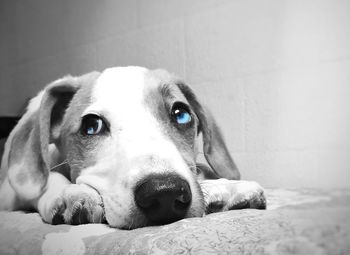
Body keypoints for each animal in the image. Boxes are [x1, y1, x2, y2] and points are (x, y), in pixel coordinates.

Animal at [0, 65, 264, 229]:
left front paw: (227, 188)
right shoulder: (8, 193)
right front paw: (70, 193)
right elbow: (49, 178)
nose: (165, 192)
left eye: (181, 114)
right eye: (91, 125)